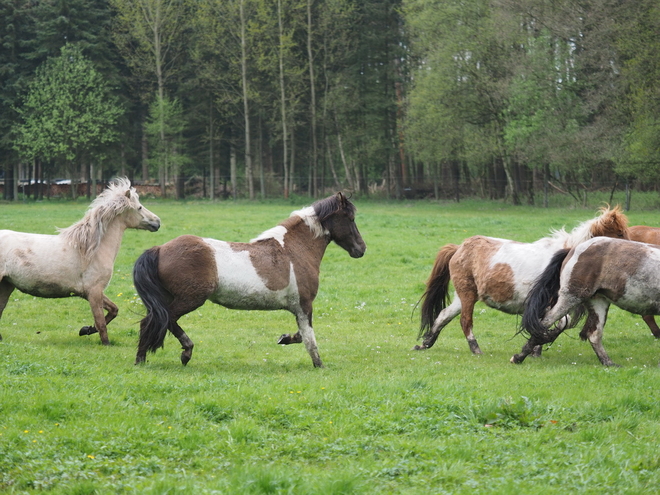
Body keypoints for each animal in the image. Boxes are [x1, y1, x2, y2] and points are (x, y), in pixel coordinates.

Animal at [0, 178, 160, 344]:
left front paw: (86, 330)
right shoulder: (94, 292)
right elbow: (101, 322)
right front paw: (105, 343)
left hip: (6, 285)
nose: (157, 222)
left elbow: (113, 310)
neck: (92, 250)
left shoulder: (91, 292)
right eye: (139, 207)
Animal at [131, 193, 364, 368]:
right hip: (191, 299)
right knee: (163, 319)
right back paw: (181, 353)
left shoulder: (299, 307)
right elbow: (309, 338)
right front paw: (319, 365)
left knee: (153, 321)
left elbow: (300, 334)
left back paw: (142, 359)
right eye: (350, 218)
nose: (361, 249)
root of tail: (160, 248)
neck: (294, 250)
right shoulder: (305, 305)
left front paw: (284, 338)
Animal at [416, 206, 628, 356]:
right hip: (467, 294)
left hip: (464, 296)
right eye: (619, 234)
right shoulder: (550, 302)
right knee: (465, 321)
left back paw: (426, 343)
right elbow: (556, 323)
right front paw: (539, 344)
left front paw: (536, 349)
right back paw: (475, 349)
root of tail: (459, 247)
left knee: (444, 315)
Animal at [520, 238, 660, 366]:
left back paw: (608, 362)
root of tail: (573, 250)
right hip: (570, 298)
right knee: (545, 322)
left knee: (594, 334)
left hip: (598, 302)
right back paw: (520, 356)